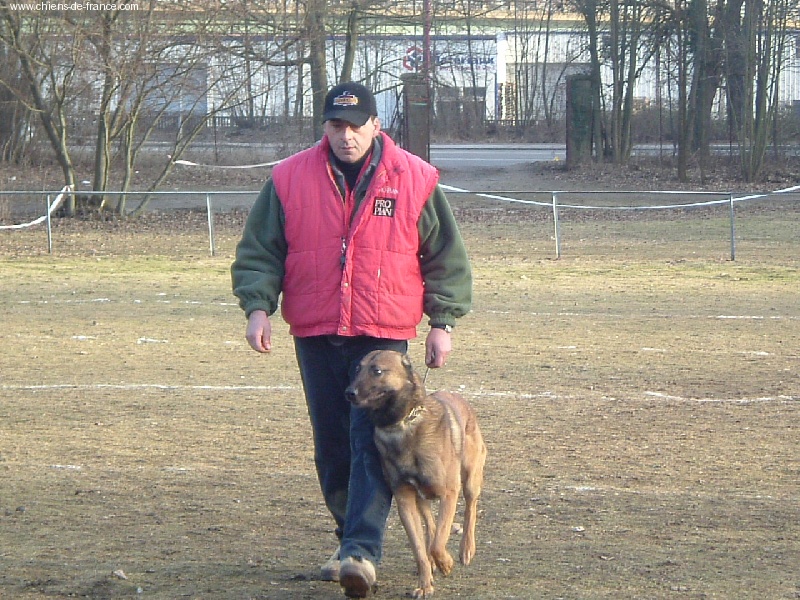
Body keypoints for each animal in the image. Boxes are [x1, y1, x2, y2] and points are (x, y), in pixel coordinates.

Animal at [346, 350, 488, 596]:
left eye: (377, 371)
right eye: (357, 368)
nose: (349, 393)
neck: (402, 425)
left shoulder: (449, 493)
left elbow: (438, 543)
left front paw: (446, 562)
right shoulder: (405, 500)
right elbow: (421, 549)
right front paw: (425, 584)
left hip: (470, 478)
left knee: (470, 509)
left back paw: (466, 549)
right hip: (422, 499)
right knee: (431, 526)